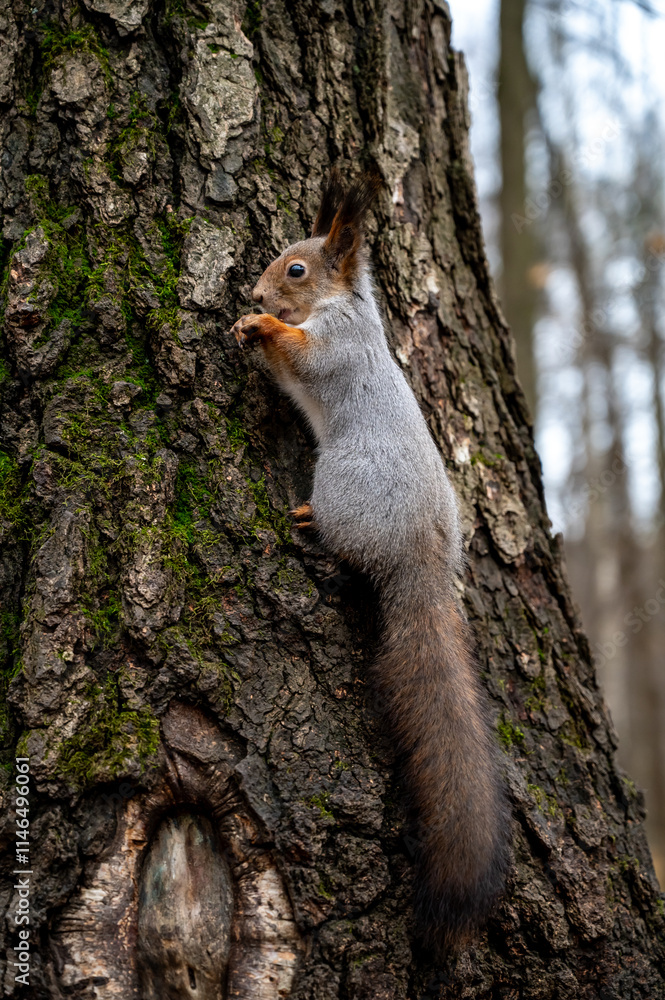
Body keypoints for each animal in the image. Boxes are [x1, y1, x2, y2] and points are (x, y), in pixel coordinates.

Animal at [230, 170, 510, 951]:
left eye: (296, 269)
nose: (256, 292)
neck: (343, 305)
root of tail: (422, 559)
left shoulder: (339, 345)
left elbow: (303, 358)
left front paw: (259, 327)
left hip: (342, 488)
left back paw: (311, 527)